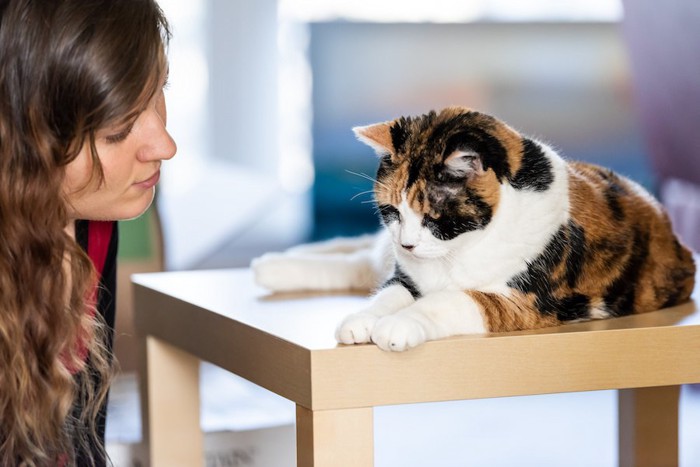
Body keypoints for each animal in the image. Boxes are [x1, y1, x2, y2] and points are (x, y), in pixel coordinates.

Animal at [253, 108, 696, 352]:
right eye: (392, 211)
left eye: (433, 216)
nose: (407, 244)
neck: (458, 252)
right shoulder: (406, 275)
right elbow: (388, 293)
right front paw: (363, 318)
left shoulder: (522, 302)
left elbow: (445, 302)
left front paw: (397, 326)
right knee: (360, 259)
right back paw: (273, 265)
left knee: (361, 263)